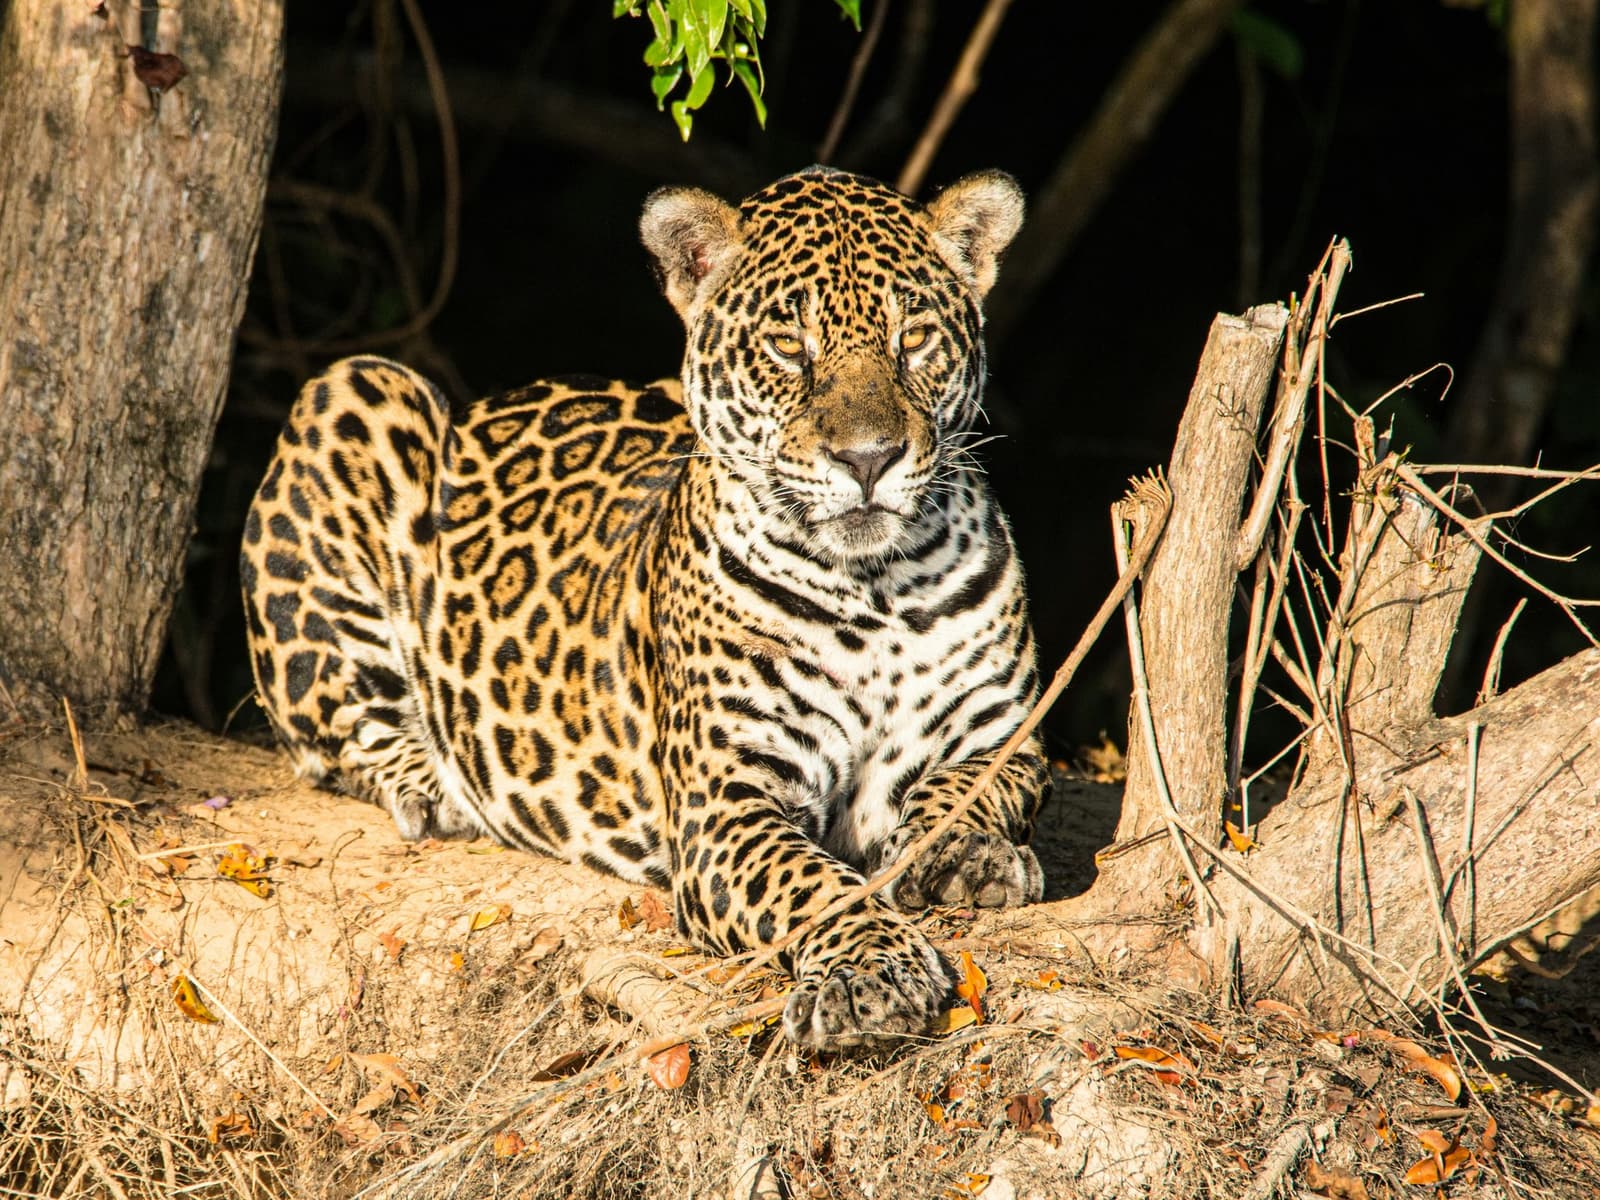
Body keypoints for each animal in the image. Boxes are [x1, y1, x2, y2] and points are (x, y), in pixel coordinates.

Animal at [240, 165, 1049, 1050]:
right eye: (787, 347)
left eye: (915, 340)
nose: (868, 459)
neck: (875, 588)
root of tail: (495, 398)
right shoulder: (725, 804)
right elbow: (814, 884)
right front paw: (871, 971)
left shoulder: (1009, 737)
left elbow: (974, 787)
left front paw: (964, 853)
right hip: (354, 391)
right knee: (333, 728)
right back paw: (435, 786)